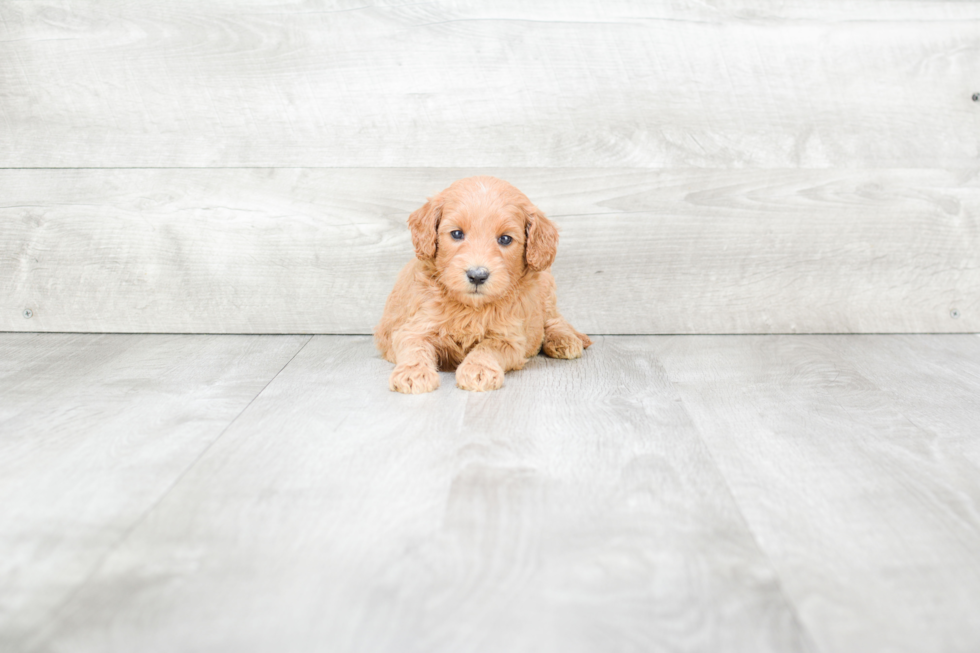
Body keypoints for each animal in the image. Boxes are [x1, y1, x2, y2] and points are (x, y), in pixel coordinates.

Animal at [374, 174, 588, 392]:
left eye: (505, 239)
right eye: (457, 234)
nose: (477, 275)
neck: (470, 308)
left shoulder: (509, 338)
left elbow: (488, 348)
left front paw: (478, 369)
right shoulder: (415, 326)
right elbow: (415, 346)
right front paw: (413, 373)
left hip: (546, 288)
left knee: (554, 318)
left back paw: (564, 339)